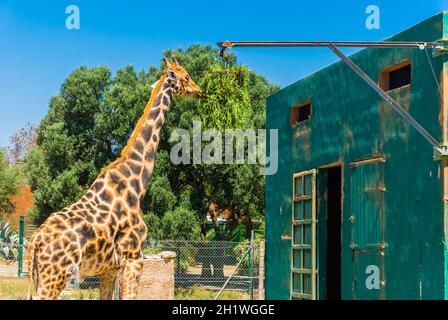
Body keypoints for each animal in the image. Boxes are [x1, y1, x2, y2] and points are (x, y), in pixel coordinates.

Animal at [27, 57, 201, 300]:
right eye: (185, 76)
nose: (199, 91)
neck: (136, 186)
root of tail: (35, 242)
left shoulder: (110, 268)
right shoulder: (134, 258)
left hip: (41, 276)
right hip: (55, 276)